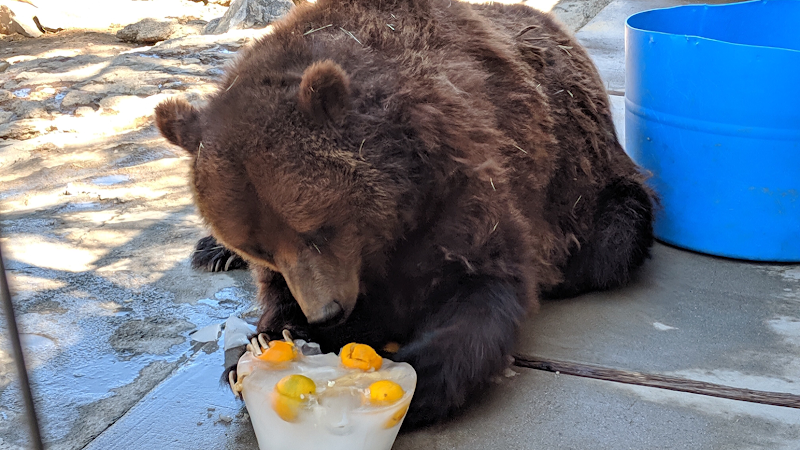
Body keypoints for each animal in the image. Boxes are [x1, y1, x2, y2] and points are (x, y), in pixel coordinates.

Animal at [155, 0, 655, 428]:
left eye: (319, 229)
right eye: (261, 249)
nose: (325, 314)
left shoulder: (465, 183)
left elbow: (482, 288)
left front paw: (411, 375)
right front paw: (263, 343)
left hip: (588, 182)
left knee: (608, 246)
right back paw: (210, 252)